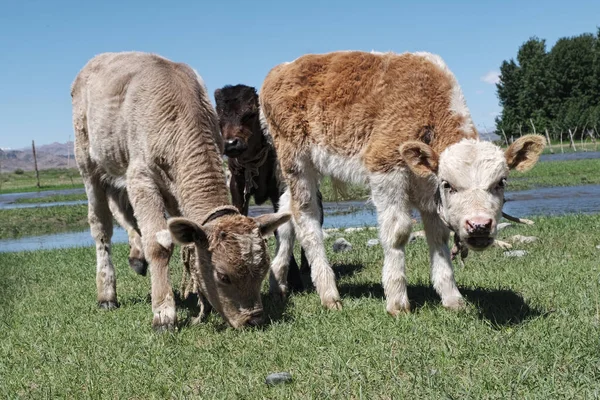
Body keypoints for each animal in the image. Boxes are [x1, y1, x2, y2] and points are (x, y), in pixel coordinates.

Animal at [72, 51, 288, 330]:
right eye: (222, 276)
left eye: (262, 270)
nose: (253, 319)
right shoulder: (140, 178)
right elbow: (159, 244)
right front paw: (164, 313)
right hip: (87, 162)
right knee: (101, 227)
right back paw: (107, 293)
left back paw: (137, 258)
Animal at [260, 50, 548, 312]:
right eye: (449, 184)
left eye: (501, 182)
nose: (479, 225)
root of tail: (280, 69)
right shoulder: (385, 167)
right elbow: (398, 232)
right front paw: (397, 301)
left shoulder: (428, 189)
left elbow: (438, 236)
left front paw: (452, 298)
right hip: (296, 159)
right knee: (306, 217)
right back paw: (329, 294)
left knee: (286, 211)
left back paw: (278, 283)